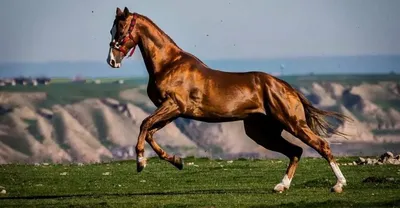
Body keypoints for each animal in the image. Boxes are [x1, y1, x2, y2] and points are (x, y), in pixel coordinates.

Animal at [105, 7, 350, 193]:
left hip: (292, 122)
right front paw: (176, 161)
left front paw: (140, 162)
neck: (169, 64)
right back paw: (282, 186)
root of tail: (287, 87)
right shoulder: (172, 112)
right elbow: (150, 133)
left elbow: (144, 124)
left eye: (121, 29)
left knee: (321, 145)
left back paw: (338, 185)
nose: (111, 61)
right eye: (111, 30)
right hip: (262, 132)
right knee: (296, 151)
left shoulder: (173, 106)